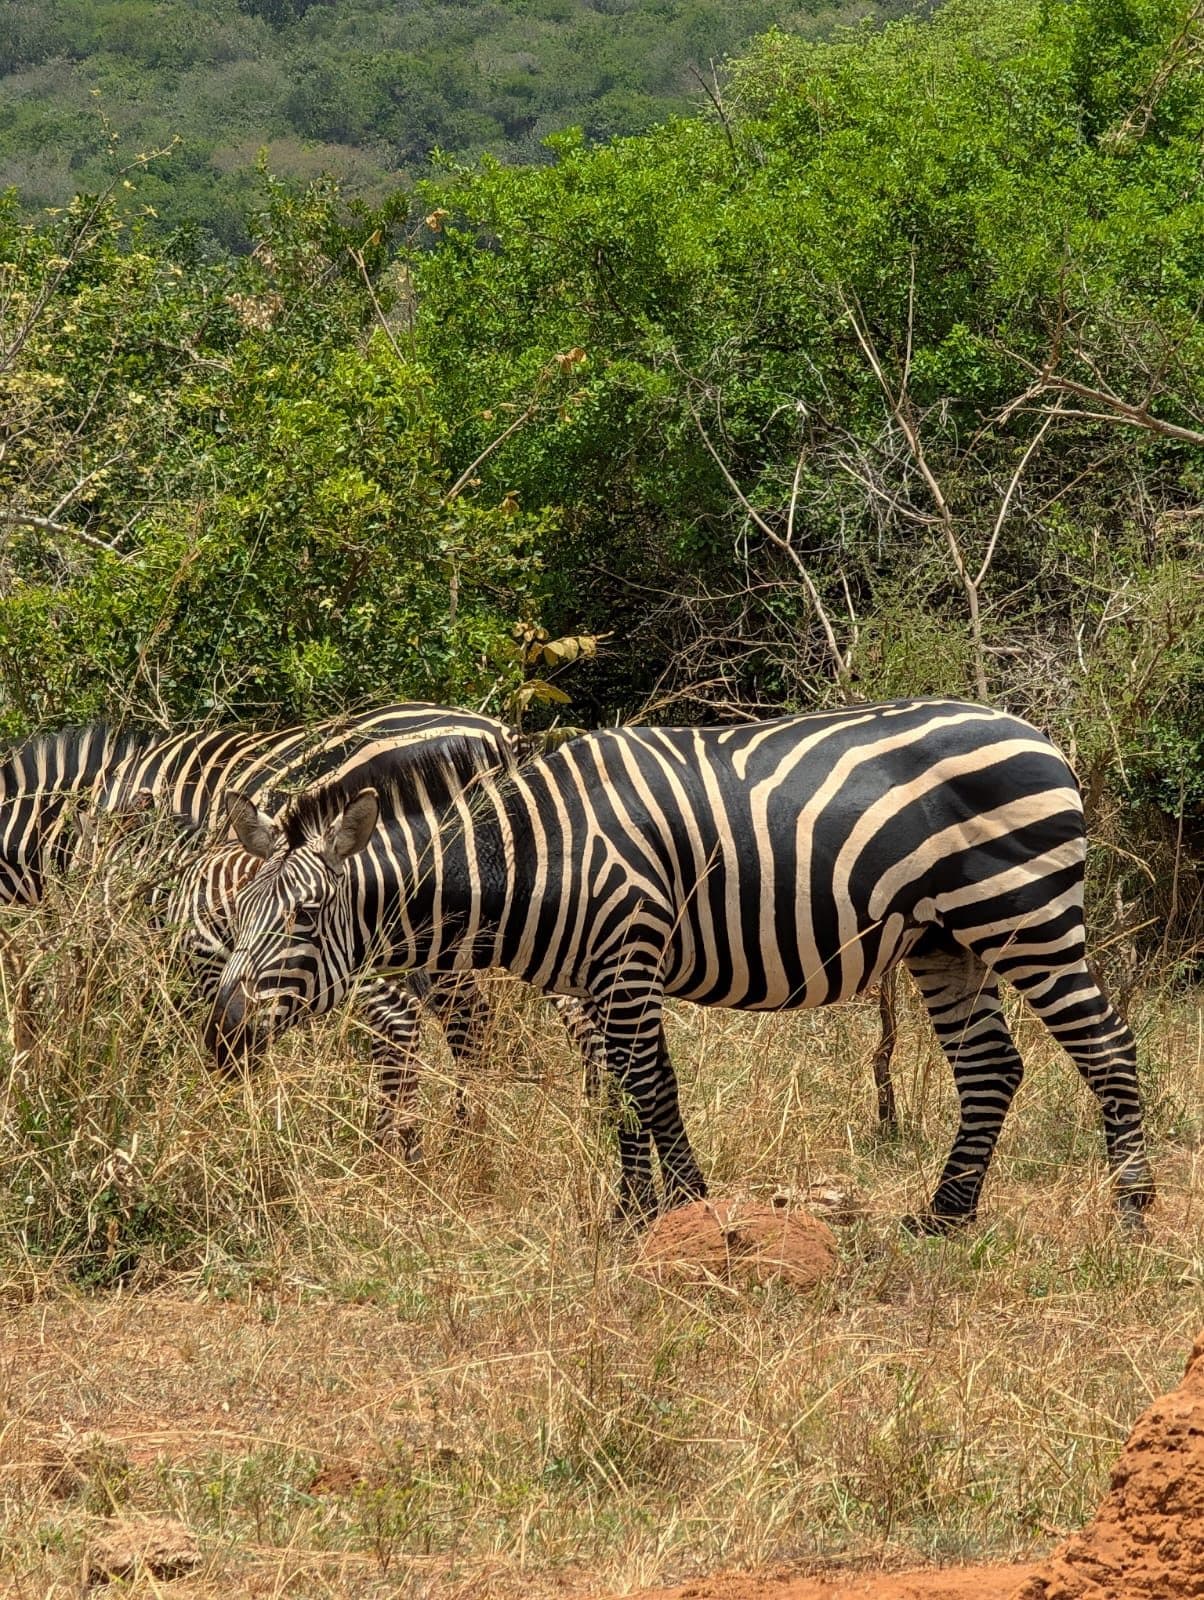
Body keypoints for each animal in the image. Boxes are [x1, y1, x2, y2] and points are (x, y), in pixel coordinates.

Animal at [206, 698, 1154, 1232]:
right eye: (239, 917)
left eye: (303, 918)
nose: (220, 1038)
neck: (533, 858)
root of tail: (1039, 735)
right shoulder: (596, 976)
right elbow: (630, 1090)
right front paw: (637, 1212)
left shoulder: (628, 950)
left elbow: (649, 1090)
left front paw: (683, 1210)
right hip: (944, 941)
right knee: (992, 1068)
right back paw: (945, 1217)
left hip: (1022, 913)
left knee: (1107, 1048)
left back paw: (1132, 1214)